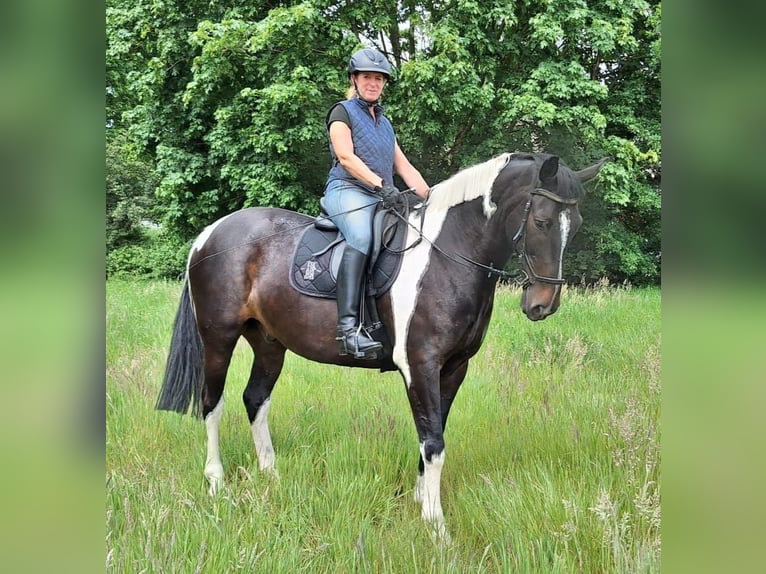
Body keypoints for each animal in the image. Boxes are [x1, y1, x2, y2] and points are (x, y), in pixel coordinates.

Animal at [156, 152, 608, 540]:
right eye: (543, 221)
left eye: (576, 223)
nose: (542, 305)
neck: (449, 255)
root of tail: (209, 234)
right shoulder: (420, 364)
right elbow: (434, 442)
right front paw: (437, 527)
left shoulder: (453, 367)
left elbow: (432, 434)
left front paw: (420, 502)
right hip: (218, 338)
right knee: (211, 403)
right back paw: (216, 482)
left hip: (269, 342)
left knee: (255, 399)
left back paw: (271, 474)